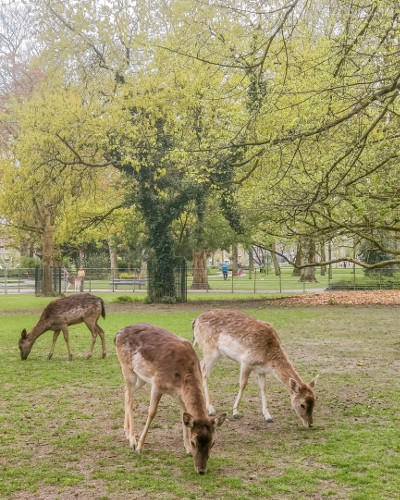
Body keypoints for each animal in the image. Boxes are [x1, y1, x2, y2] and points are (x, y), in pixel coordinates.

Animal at [114, 322, 227, 474]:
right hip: (127, 368)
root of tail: (118, 333)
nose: (201, 470)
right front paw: (140, 447)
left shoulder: (180, 395)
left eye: (212, 442)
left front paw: (187, 450)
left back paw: (126, 432)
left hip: (141, 377)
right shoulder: (157, 384)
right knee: (130, 397)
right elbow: (152, 413)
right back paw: (132, 441)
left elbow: (183, 417)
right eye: (194, 442)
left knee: (125, 391)